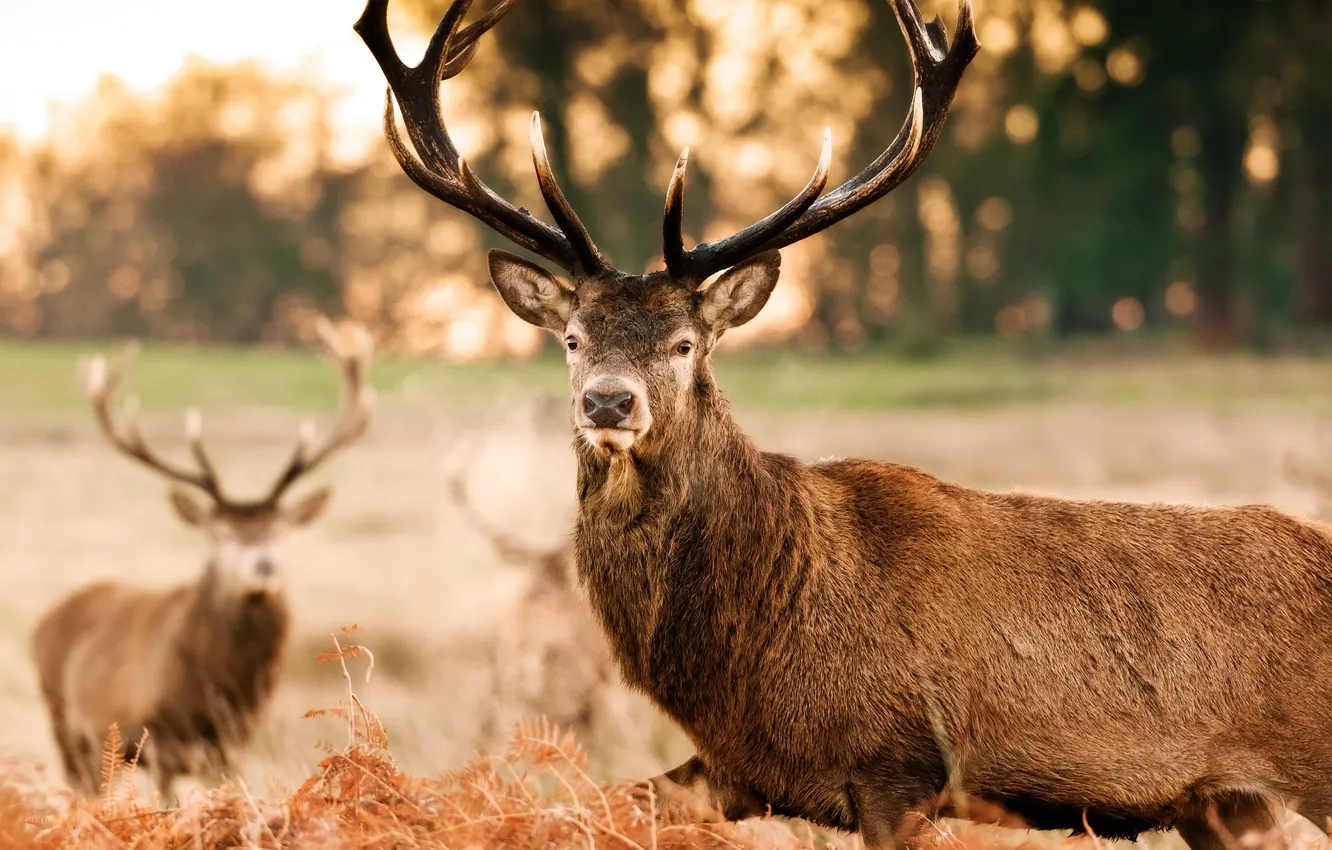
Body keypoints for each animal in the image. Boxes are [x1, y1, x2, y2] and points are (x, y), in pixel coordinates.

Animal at [31, 318, 374, 799]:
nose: (263, 565)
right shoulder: (156, 736)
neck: (219, 687)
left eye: (280, 531)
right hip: (65, 721)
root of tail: (47, 619)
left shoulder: (232, 743)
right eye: (220, 534)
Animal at [358, 1, 1332, 848]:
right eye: (571, 337)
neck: (748, 657)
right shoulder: (731, 770)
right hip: (1224, 805)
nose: (608, 402)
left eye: (684, 342)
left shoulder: (900, 764)